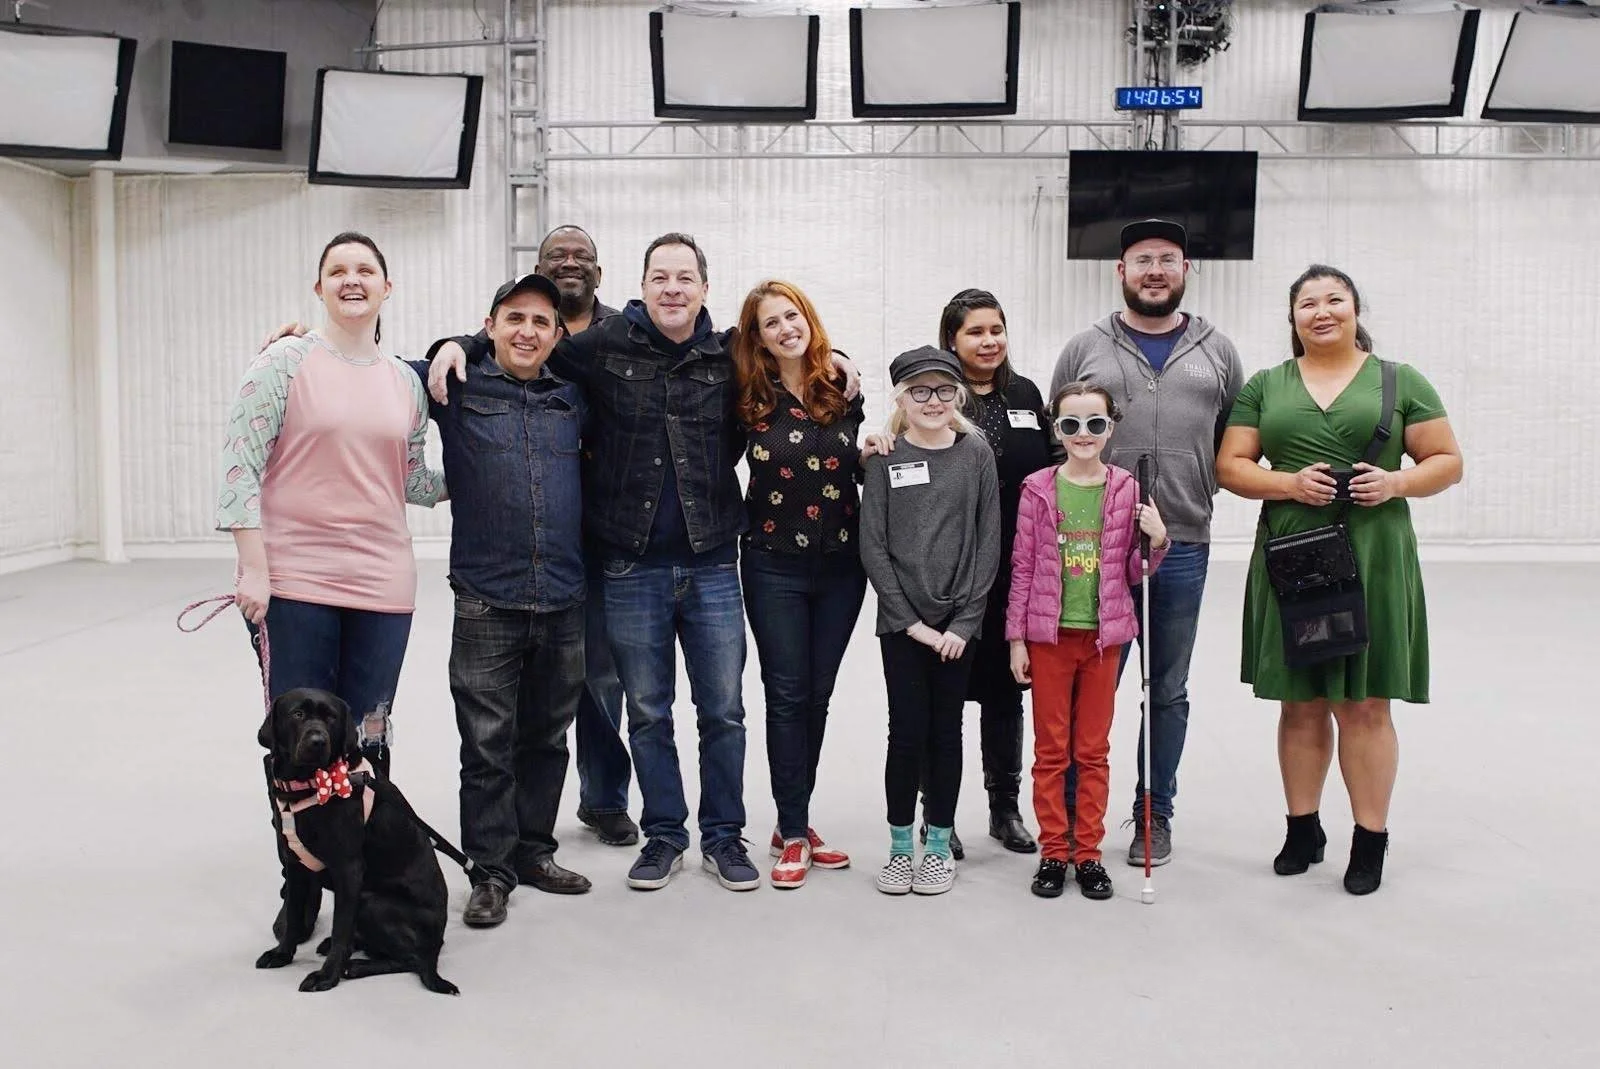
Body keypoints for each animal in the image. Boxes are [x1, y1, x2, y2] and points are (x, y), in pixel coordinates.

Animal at [255, 687, 457, 994]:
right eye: (297, 714)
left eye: (331, 718)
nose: (317, 741)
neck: (309, 786)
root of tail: (438, 941)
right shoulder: (295, 864)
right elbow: (293, 917)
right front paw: (281, 954)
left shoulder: (348, 870)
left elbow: (340, 929)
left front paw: (326, 976)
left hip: (370, 900)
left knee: (411, 959)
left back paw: (356, 966)